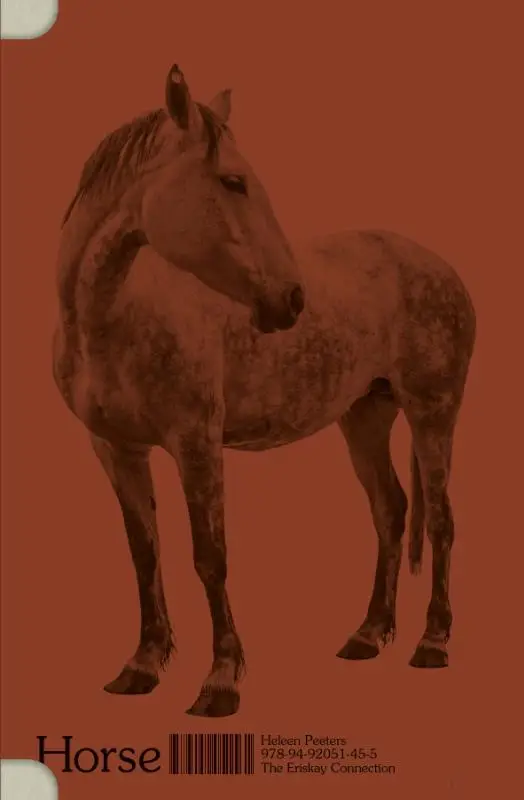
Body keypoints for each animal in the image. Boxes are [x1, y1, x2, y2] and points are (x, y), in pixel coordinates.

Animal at [53, 63, 476, 717]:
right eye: (233, 181)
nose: (291, 300)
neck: (113, 315)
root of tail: (439, 266)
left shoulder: (197, 443)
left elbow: (210, 557)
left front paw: (220, 682)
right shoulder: (116, 449)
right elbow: (145, 553)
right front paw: (141, 666)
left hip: (434, 414)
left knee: (441, 521)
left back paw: (432, 642)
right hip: (365, 417)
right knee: (390, 510)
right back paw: (367, 635)